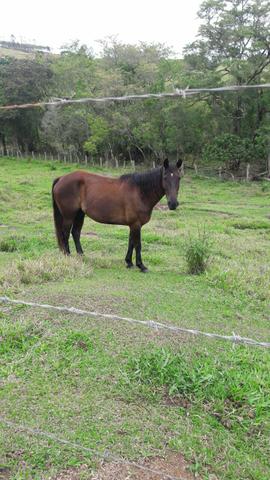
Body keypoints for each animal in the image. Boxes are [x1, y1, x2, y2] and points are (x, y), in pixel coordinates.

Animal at [51, 159, 182, 272]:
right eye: (165, 177)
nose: (173, 204)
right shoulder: (136, 224)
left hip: (80, 214)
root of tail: (61, 178)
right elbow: (138, 244)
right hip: (69, 216)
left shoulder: (133, 225)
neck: (140, 192)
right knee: (65, 234)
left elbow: (131, 242)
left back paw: (81, 256)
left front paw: (129, 262)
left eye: (179, 178)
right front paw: (141, 265)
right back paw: (67, 255)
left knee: (76, 233)